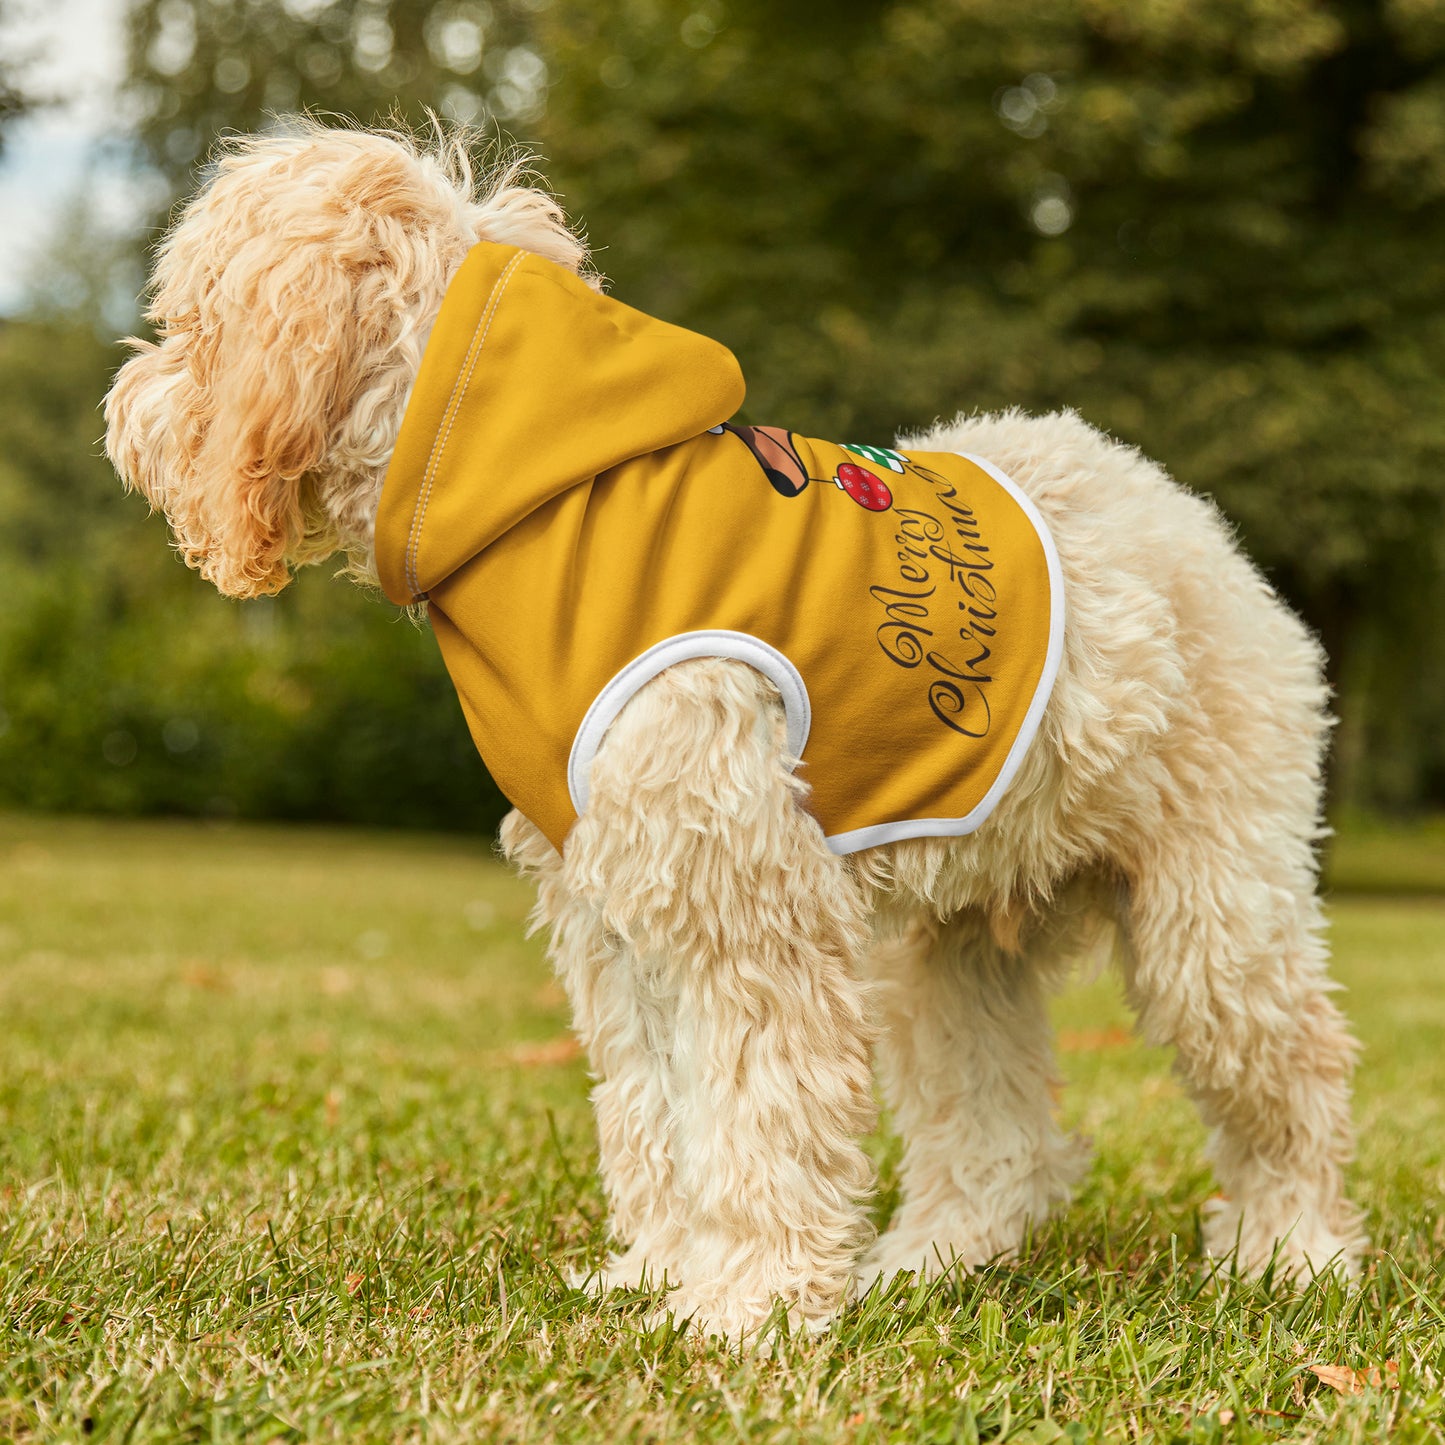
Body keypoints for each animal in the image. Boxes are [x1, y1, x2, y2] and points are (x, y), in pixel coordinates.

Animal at [104, 124, 1364, 1340]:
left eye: (190, 319)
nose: (123, 407)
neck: (537, 500)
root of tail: (1188, 518)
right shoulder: (617, 908)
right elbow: (655, 1110)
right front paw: (661, 1273)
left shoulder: (743, 902)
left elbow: (758, 1112)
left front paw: (746, 1305)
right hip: (948, 948)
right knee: (995, 1132)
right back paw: (929, 1260)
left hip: (1212, 913)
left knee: (1293, 1073)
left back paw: (1290, 1252)